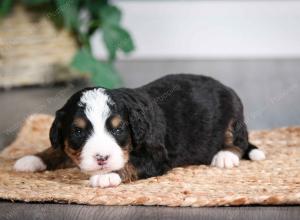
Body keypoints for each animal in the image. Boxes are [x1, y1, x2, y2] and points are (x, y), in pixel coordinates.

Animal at [15, 74, 266, 187]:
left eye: (118, 129)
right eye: (78, 132)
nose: (102, 158)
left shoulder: (156, 156)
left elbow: (130, 164)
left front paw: (105, 175)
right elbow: (58, 149)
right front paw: (32, 159)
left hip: (233, 117)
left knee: (239, 142)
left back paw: (224, 156)